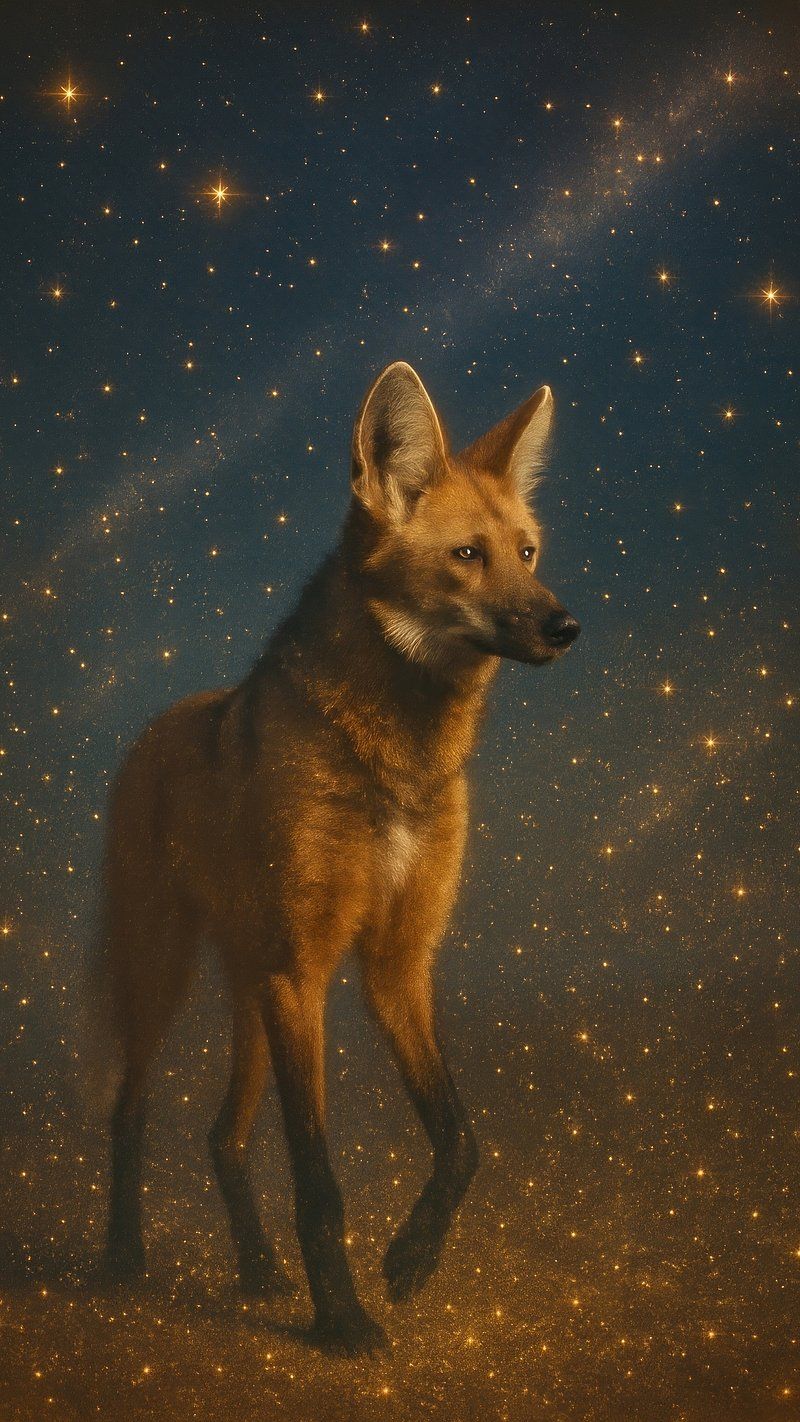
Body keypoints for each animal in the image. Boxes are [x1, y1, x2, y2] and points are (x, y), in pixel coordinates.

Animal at [96, 361, 580, 1355]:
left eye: (528, 551)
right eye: (467, 556)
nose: (565, 625)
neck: (397, 765)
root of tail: (158, 725)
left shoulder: (393, 966)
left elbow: (462, 1141)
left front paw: (411, 1261)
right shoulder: (304, 971)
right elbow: (319, 1185)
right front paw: (345, 1321)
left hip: (251, 994)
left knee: (222, 1138)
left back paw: (254, 1268)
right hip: (169, 977)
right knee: (131, 1113)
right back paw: (123, 1259)